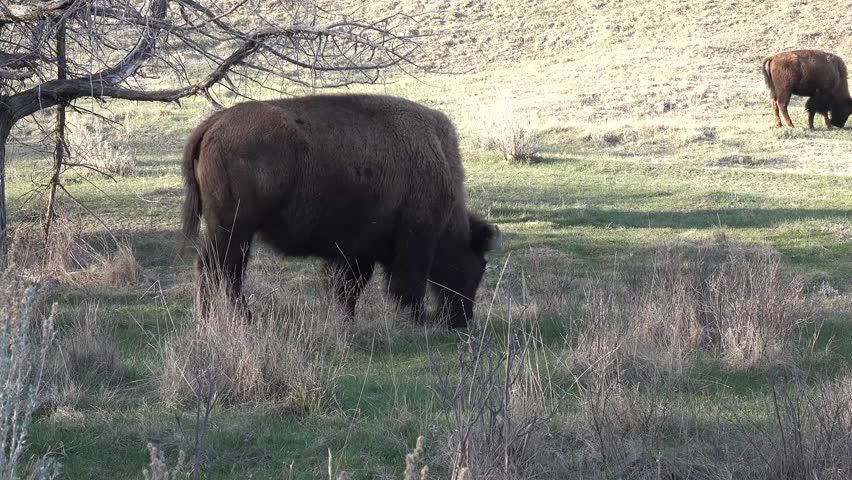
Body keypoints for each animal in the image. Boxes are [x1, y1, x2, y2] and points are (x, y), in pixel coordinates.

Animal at [181, 94, 501, 328]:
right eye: (475, 266)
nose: (462, 320)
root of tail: (214, 123)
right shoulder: (412, 242)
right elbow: (404, 285)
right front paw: (415, 321)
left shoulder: (356, 252)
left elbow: (347, 289)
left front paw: (347, 321)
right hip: (233, 230)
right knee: (217, 271)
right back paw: (227, 322)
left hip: (234, 233)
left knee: (222, 272)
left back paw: (226, 321)